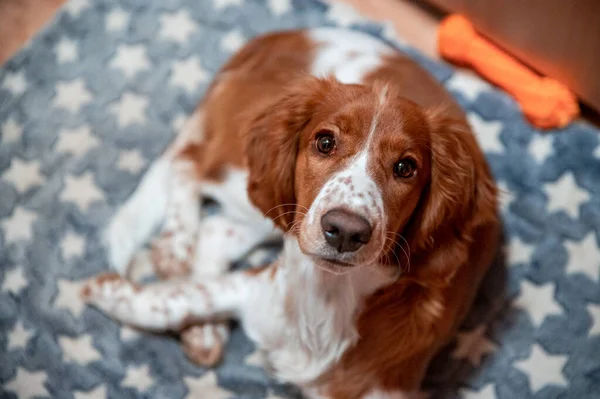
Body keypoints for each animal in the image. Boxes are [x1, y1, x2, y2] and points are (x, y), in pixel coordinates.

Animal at [82, 26, 500, 398]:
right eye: (325, 142)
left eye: (405, 168)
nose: (345, 230)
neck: (326, 296)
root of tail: (287, 34)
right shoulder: (257, 285)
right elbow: (178, 299)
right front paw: (101, 290)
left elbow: (188, 293)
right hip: (257, 184)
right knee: (190, 162)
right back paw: (174, 250)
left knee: (215, 227)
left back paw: (200, 320)